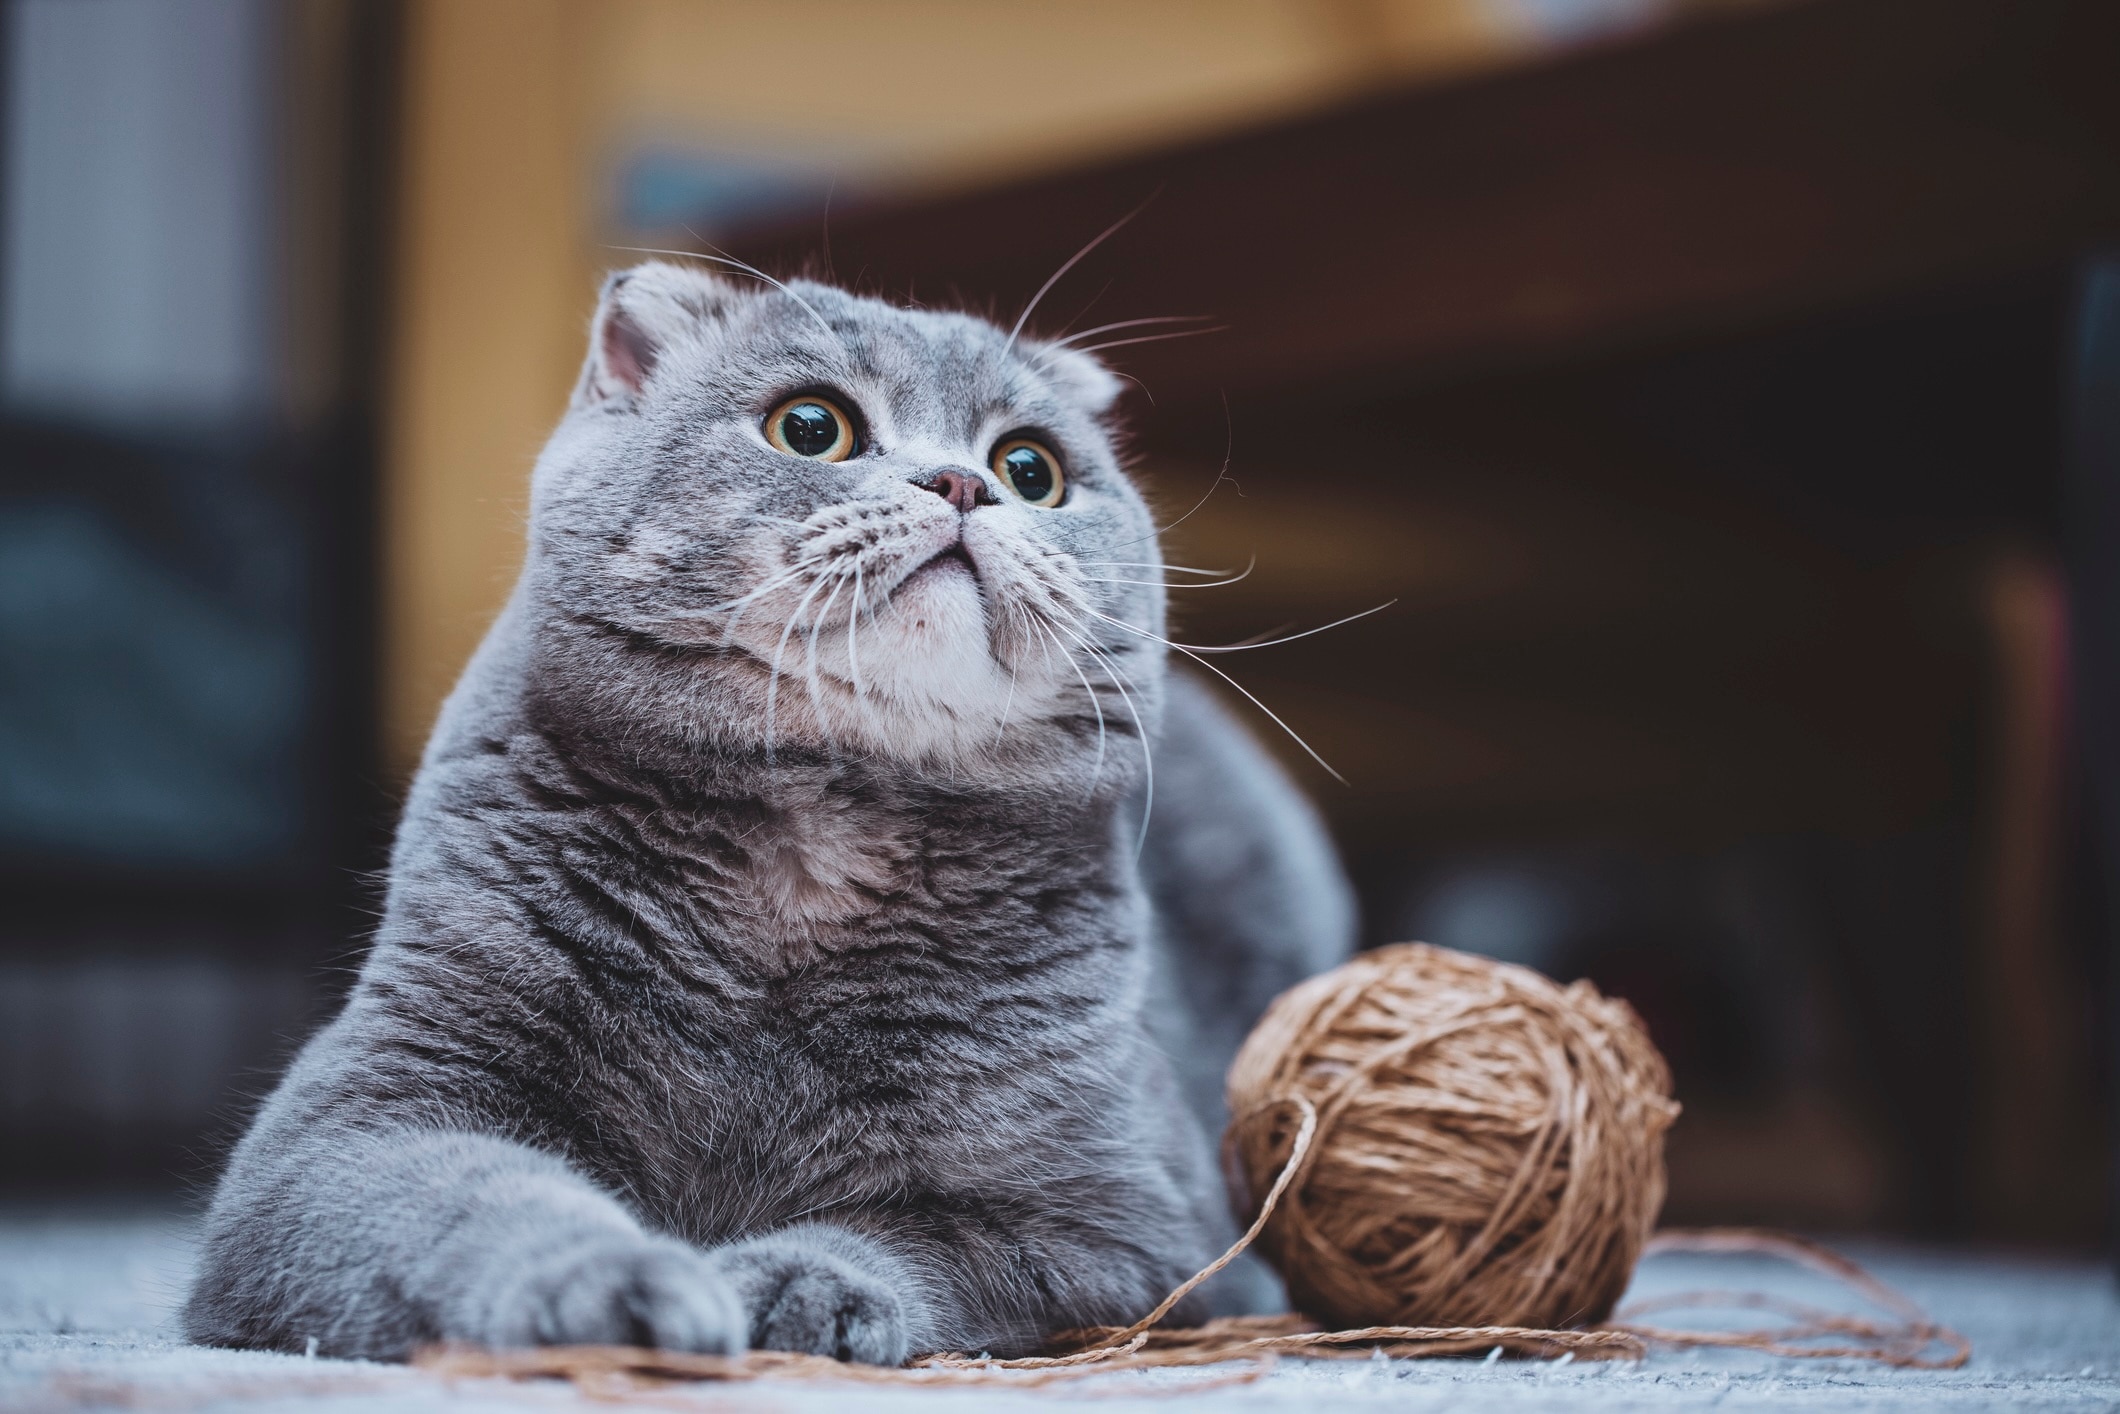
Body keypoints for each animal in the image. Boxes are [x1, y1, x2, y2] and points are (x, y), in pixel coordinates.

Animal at [182, 259, 1348, 1365]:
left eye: (1032, 468)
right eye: (811, 427)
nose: (965, 482)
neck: (815, 846)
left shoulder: (1126, 1216)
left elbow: (917, 1236)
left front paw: (791, 1286)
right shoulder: (368, 1107)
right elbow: (480, 1197)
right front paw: (627, 1288)